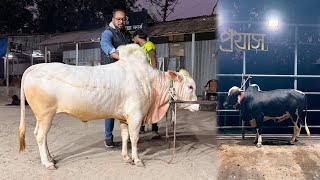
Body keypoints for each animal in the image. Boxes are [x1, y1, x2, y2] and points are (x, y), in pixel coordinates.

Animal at [18, 43, 199, 169]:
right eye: (190, 86)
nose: (197, 106)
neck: (149, 81)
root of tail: (34, 67)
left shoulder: (124, 118)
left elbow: (125, 137)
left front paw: (126, 157)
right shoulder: (136, 116)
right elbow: (134, 138)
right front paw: (137, 159)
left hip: (42, 116)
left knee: (40, 135)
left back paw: (50, 158)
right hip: (46, 114)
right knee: (40, 136)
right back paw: (47, 163)